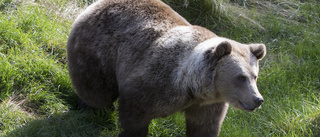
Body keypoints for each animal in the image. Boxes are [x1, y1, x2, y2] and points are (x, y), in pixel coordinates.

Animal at [67, 0, 268, 136]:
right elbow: (135, 113)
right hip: (100, 46)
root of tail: (97, 4)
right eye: (240, 77)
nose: (257, 99)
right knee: (97, 87)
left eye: (255, 76)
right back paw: (93, 108)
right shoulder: (155, 80)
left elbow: (204, 126)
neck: (190, 86)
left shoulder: (207, 104)